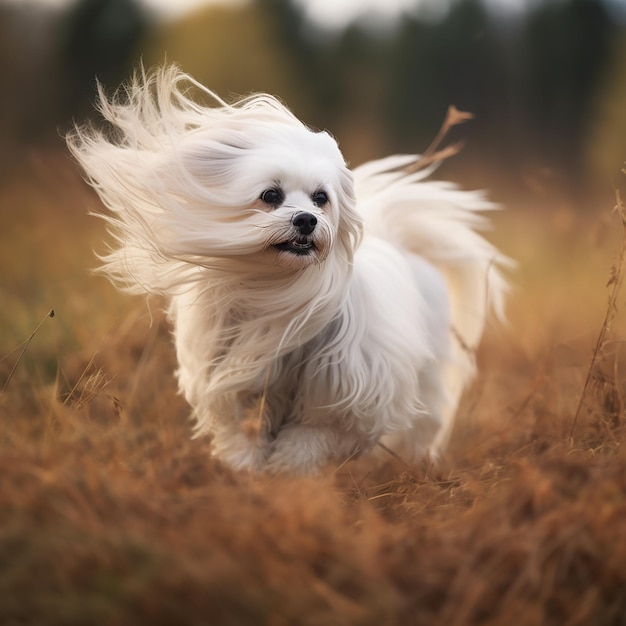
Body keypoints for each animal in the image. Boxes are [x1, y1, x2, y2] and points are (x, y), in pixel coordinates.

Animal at [67, 64, 508, 472]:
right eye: (270, 195)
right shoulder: (236, 376)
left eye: (321, 198)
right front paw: (245, 471)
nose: (306, 220)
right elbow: (242, 432)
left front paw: (288, 471)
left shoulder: (342, 392)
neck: (275, 289)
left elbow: (310, 437)